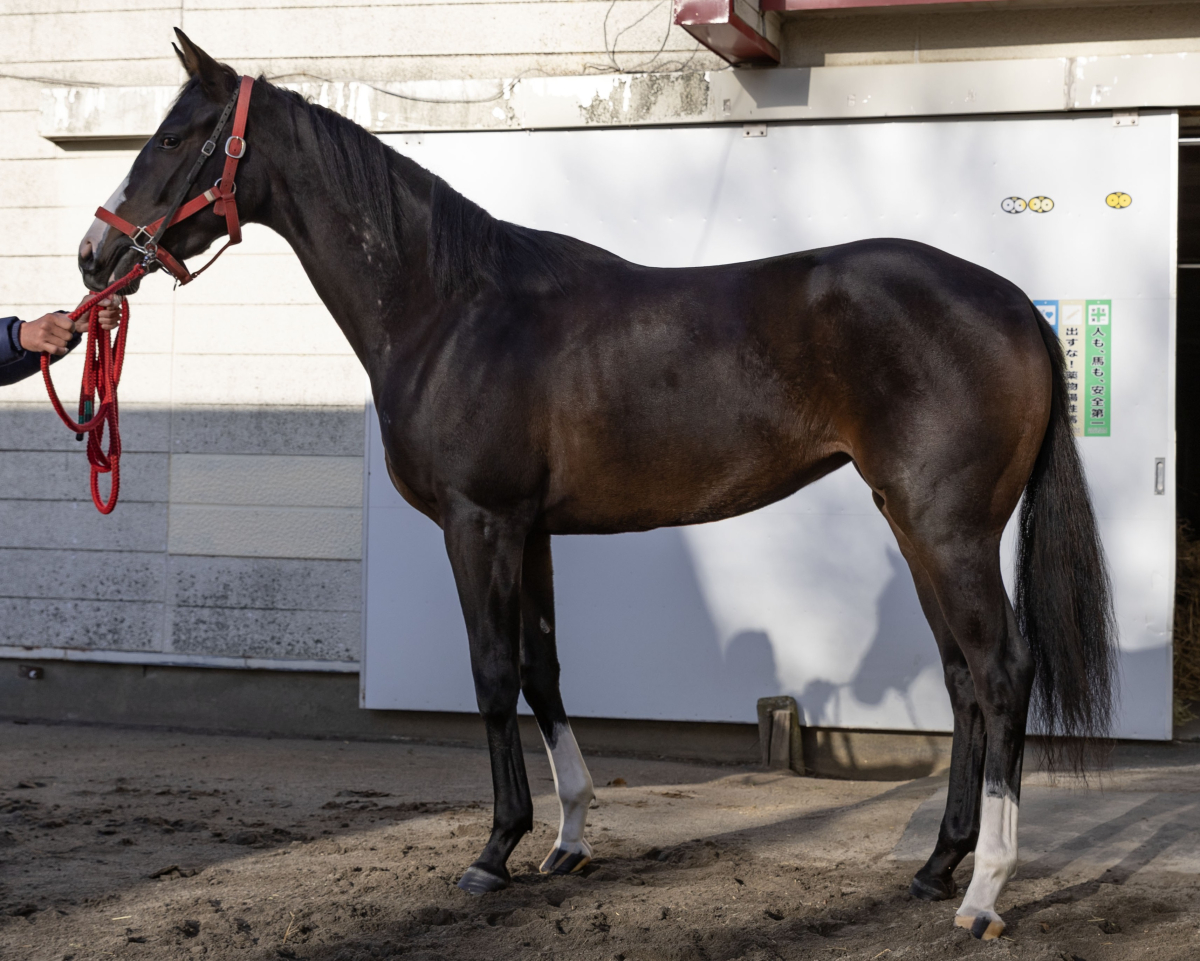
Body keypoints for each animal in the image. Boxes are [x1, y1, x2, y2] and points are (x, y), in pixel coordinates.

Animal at [77, 30, 1115, 940]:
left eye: (175, 137)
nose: (94, 254)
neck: (451, 307)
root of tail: (1011, 301)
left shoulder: (478, 524)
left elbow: (492, 673)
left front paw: (494, 849)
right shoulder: (530, 530)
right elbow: (543, 668)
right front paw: (568, 838)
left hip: (947, 527)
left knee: (1001, 669)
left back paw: (982, 891)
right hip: (913, 522)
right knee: (962, 677)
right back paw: (936, 864)